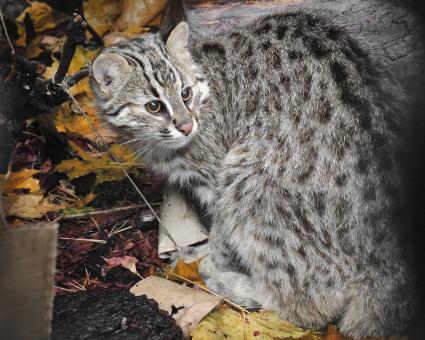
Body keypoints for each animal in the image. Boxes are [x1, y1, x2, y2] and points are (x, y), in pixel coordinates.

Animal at [90, 5, 414, 338]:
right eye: (153, 106)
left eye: (185, 93)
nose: (187, 126)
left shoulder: (217, 176)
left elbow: (221, 235)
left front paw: (208, 259)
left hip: (248, 178)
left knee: (307, 309)